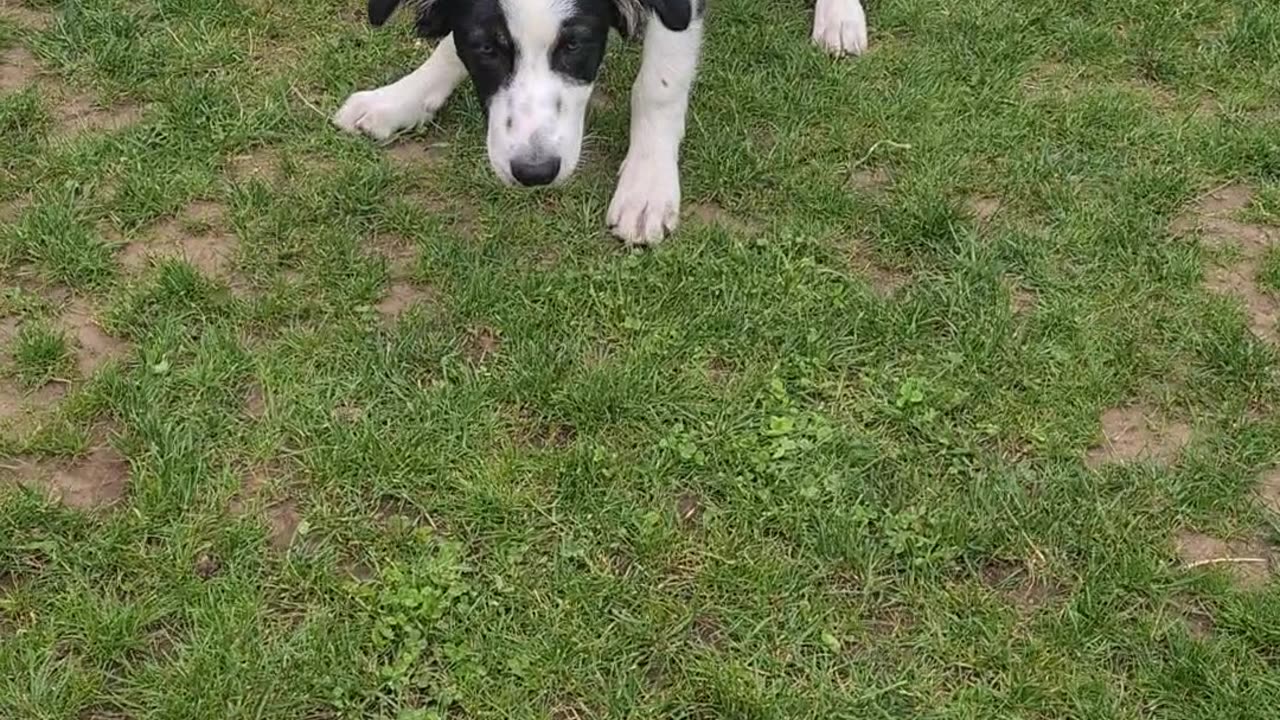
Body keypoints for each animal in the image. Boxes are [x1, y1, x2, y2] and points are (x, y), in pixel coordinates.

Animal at [335, 0, 865, 243]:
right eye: (486, 48)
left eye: (575, 44)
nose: (534, 172)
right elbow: (451, 45)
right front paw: (401, 98)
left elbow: (659, 85)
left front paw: (647, 187)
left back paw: (839, 16)